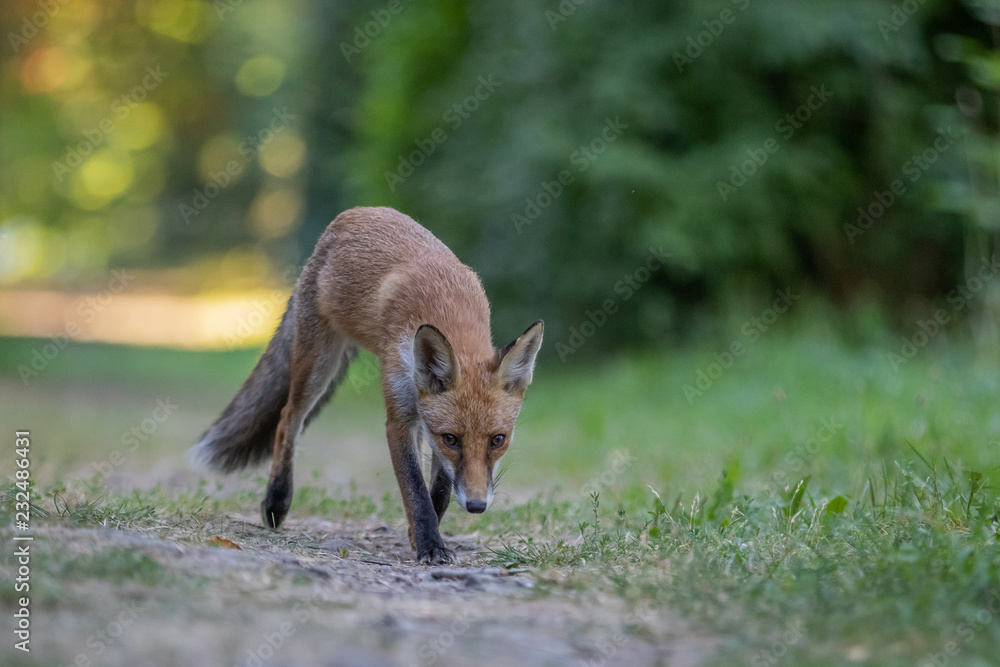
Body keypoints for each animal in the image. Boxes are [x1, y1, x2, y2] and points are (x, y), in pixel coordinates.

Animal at [191, 206, 544, 564]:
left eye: (498, 440)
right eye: (452, 439)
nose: (476, 505)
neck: (449, 308)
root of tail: (352, 215)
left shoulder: (424, 422)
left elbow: (440, 491)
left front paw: (421, 535)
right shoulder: (400, 418)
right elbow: (415, 490)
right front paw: (430, 545)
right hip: (319, 364)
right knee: (288, 418)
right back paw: (277, 500)